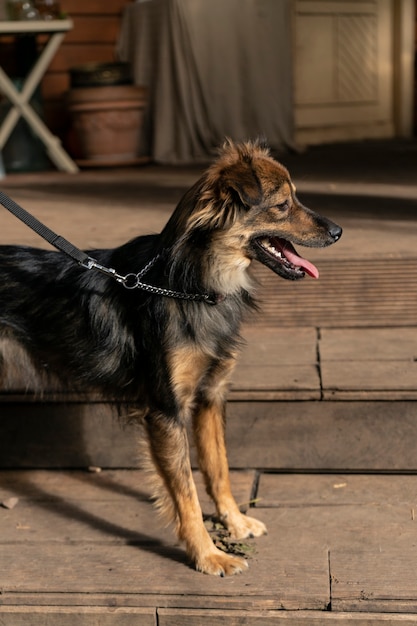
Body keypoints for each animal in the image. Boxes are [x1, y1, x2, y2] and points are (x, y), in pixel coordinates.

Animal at [0, 140, 342, 576]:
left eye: (295, 197)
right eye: (283, 204)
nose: (338, 231)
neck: (191, 284)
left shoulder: (211, 396)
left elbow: (218, 468)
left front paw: (234, 521)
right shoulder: (166, 410)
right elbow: (186, 493)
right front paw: (208, 554)